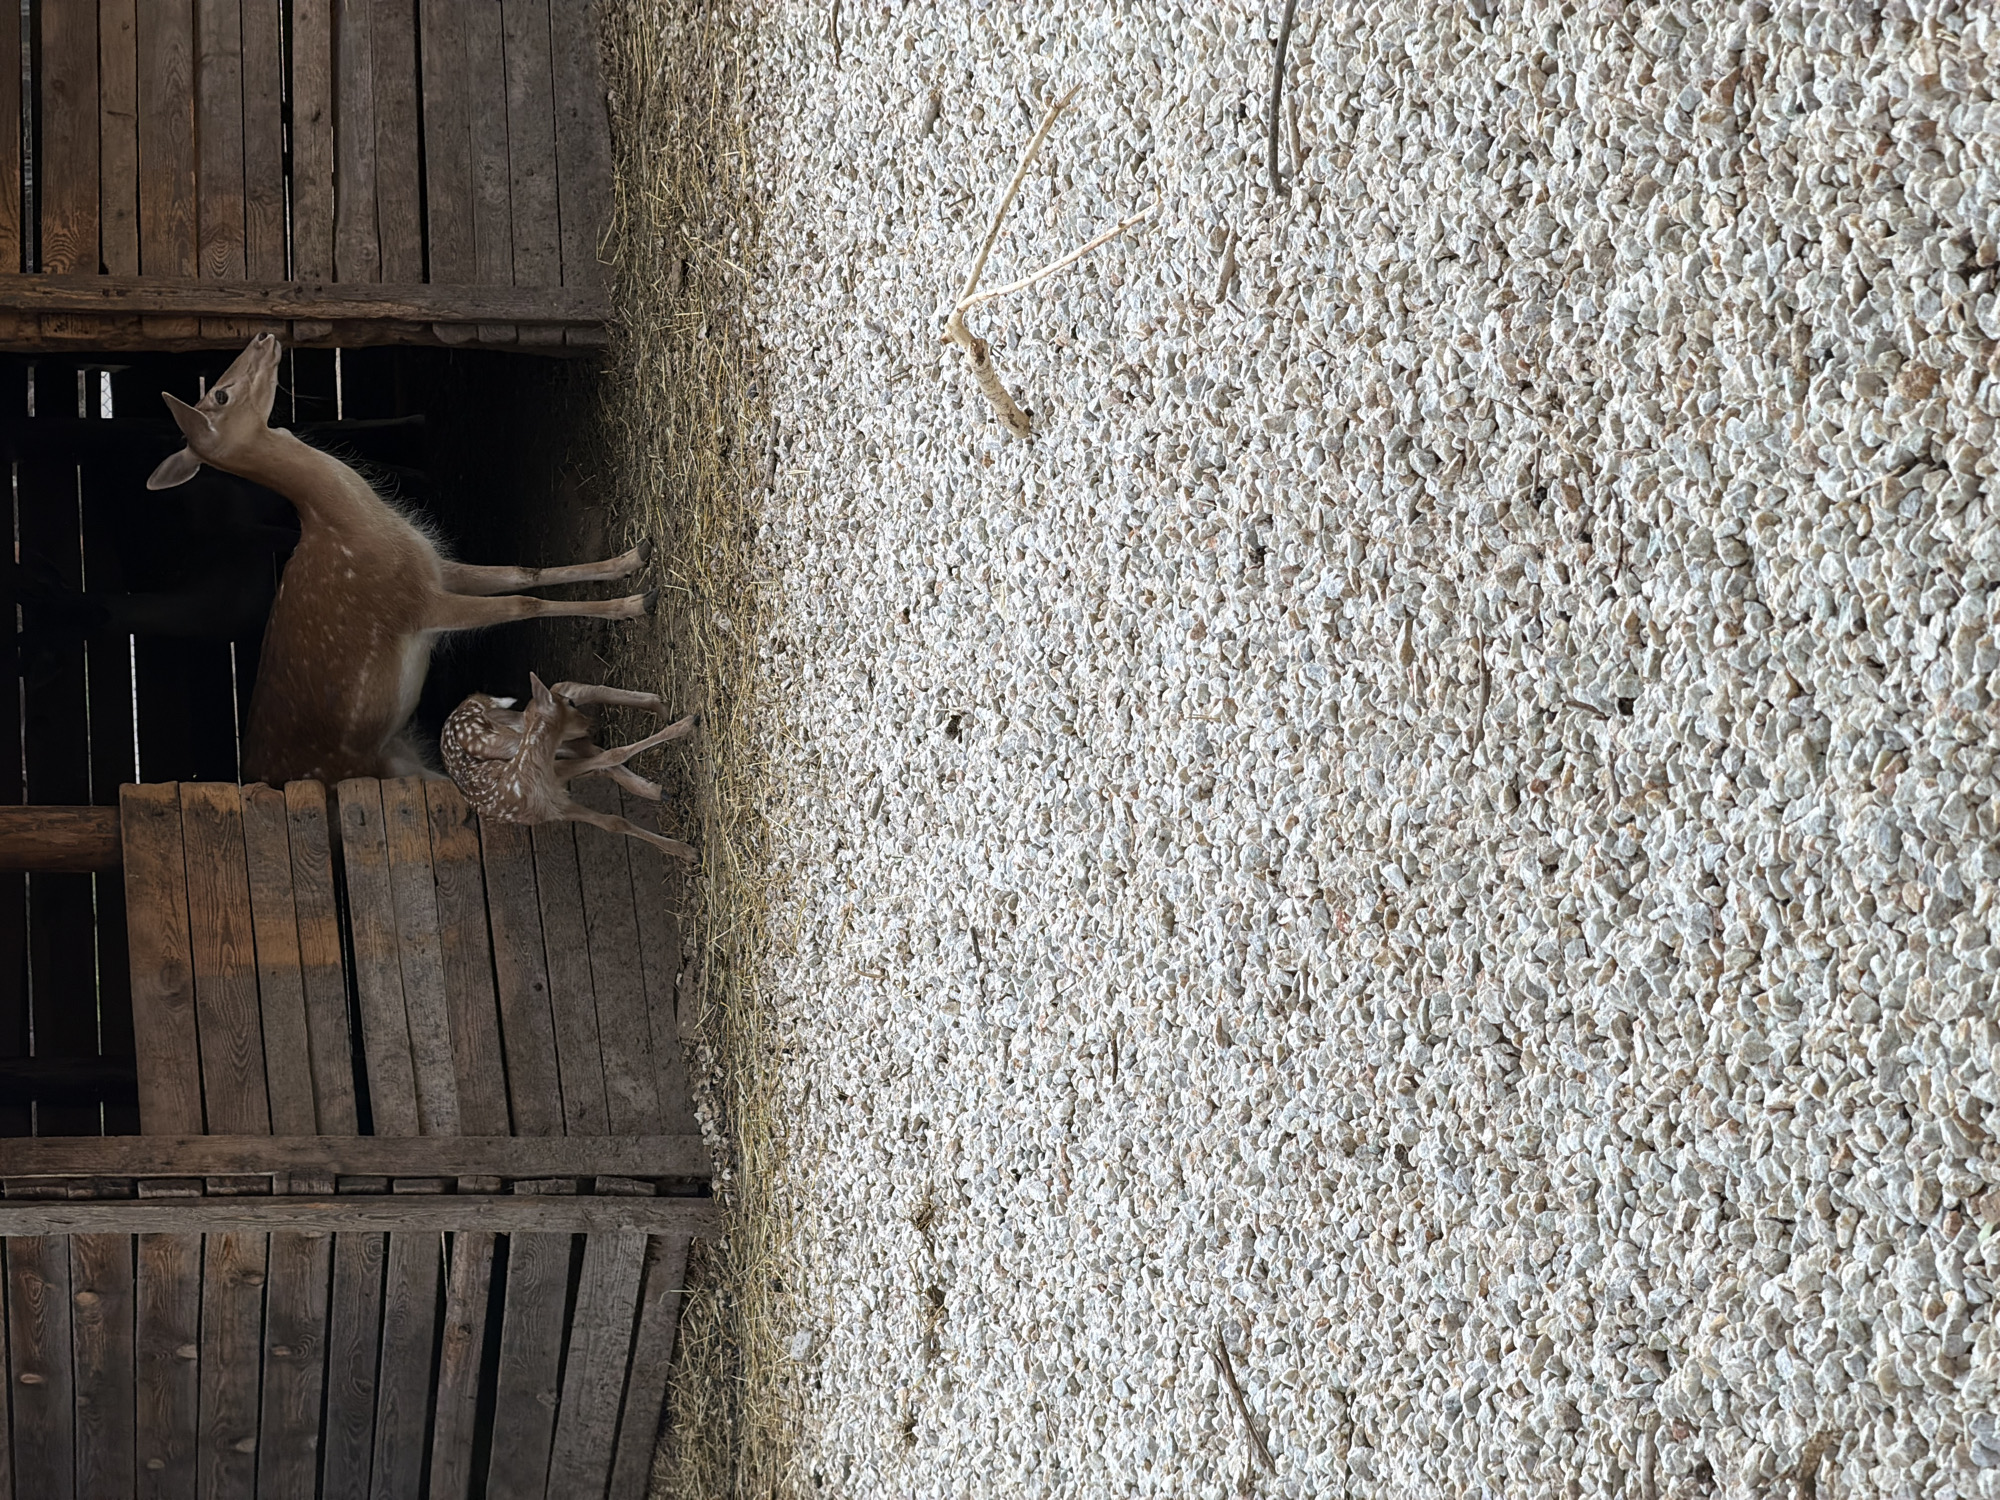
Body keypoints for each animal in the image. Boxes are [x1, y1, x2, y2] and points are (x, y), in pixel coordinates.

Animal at [147, 332, 655, 786]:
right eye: (220, 393)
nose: (261, 336)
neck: (357, 525)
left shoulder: (434, 568)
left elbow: (521, 572)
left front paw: (634, 556)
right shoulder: (413, 605)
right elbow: (520, 604)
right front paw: (634, 604)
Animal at [440, 675, 699, 858]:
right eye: (570, 706)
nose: (591, 724)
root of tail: (470, 700)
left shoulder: (557, 778)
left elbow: (610, 757)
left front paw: (685, 724)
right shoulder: (557, 806)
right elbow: (613, 821)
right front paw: (688, 853)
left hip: (523, 738)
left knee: (568, 687)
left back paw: (661, 709)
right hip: (528, 743)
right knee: (590, 747)